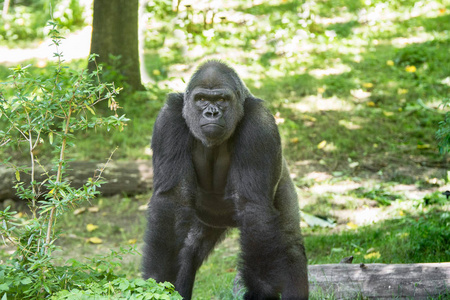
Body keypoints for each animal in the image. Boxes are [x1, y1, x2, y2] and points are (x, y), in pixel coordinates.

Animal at [144, 59, 310, 298]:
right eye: (202, 99)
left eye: (221, 100)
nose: (211, 113)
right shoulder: (169, 117)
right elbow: (172, 201)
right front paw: (159, 280)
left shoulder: (259, 123)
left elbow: (253, 207)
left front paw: (260, 290)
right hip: (207, 219)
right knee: (188, 249)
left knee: (290, 247)